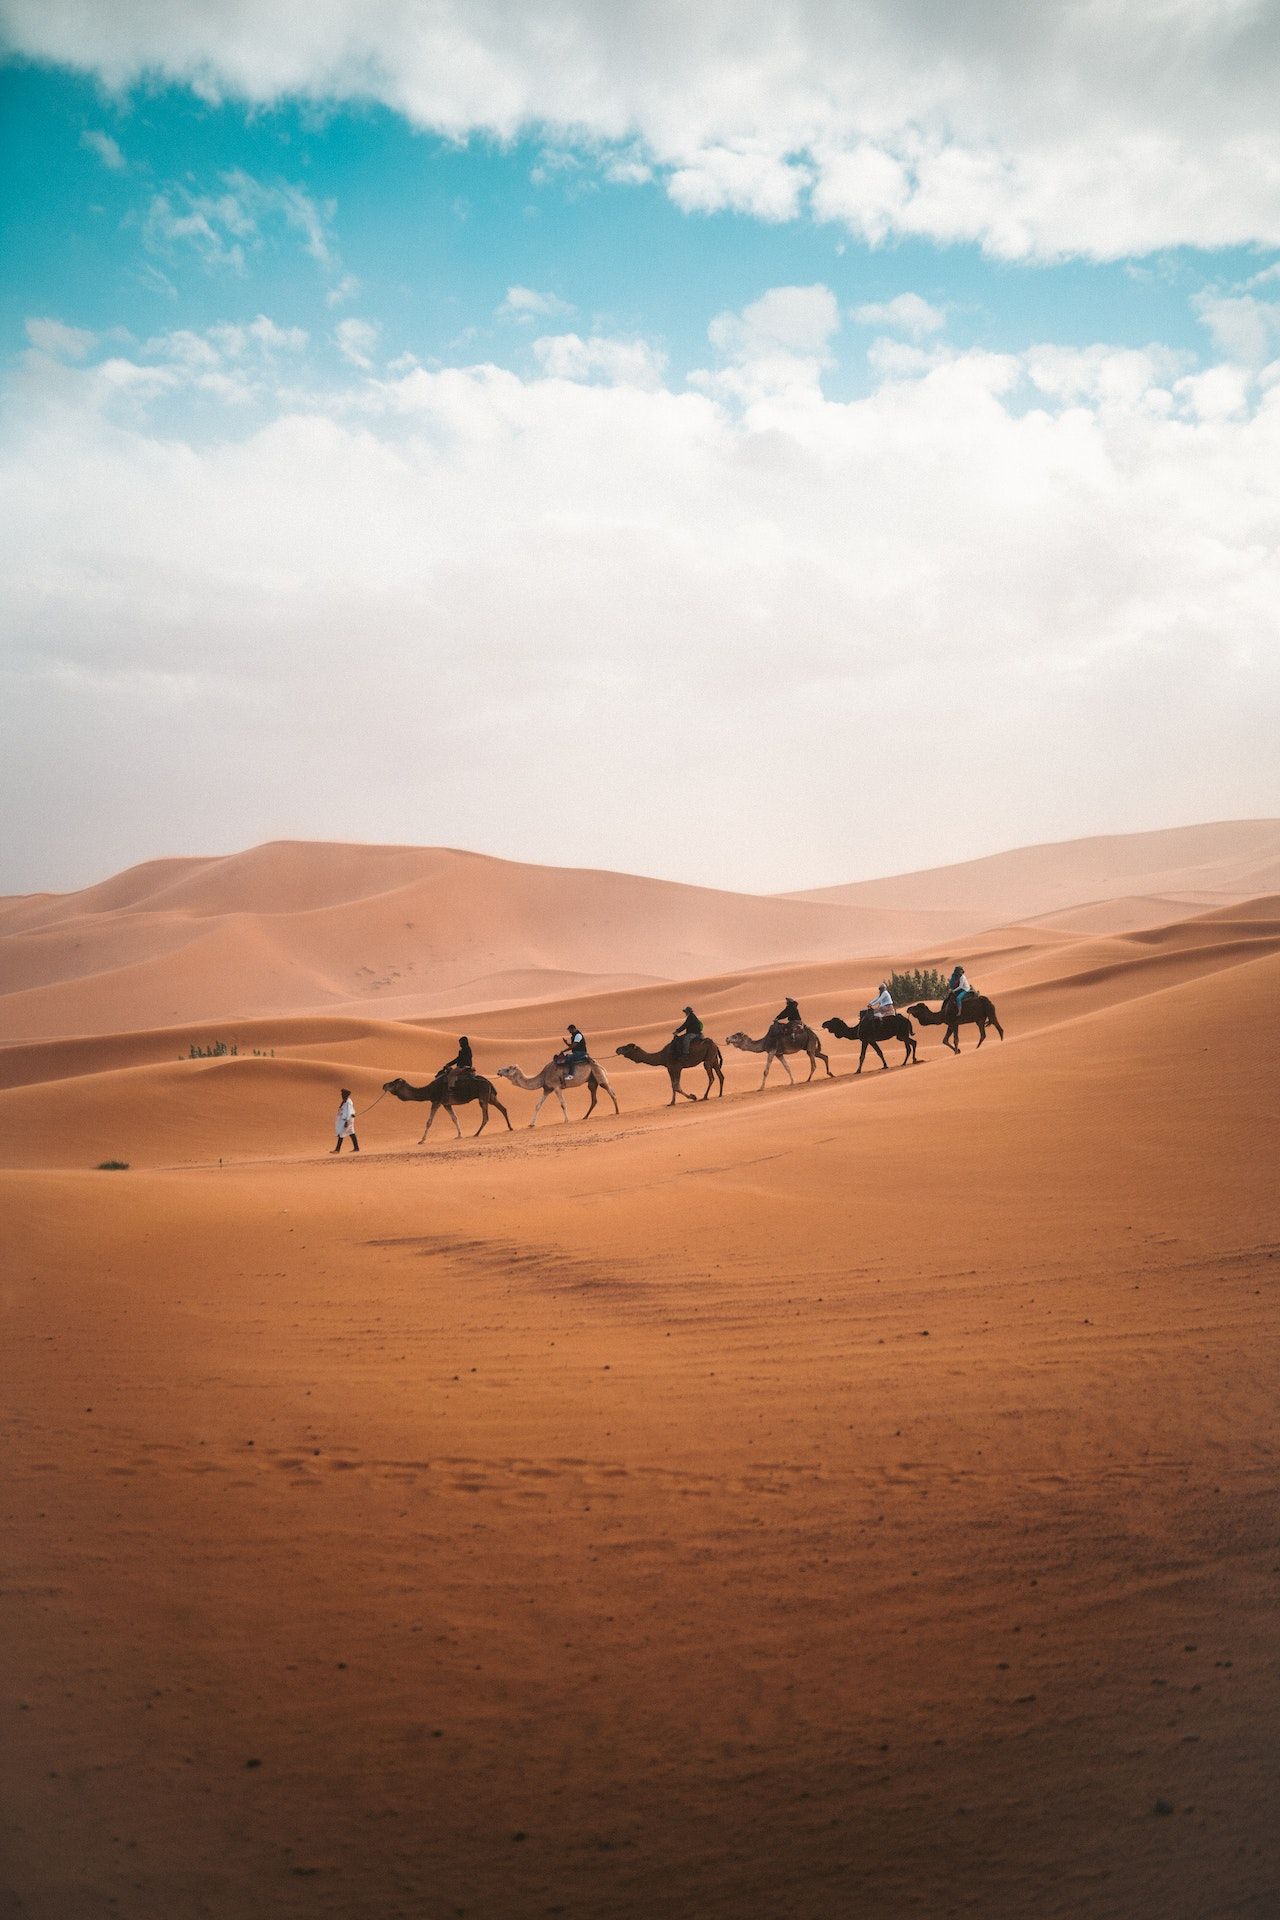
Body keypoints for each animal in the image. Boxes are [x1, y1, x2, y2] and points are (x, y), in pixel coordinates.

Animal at [383, 1067, 514, 1136]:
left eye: (393, 1083)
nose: (384, 1085)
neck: (429, 1090)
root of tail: (488, 1082)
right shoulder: (446, 1104)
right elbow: (454, 1118)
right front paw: (459, 1135)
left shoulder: (436, 1101)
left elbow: (429, 1122)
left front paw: (421, 1140)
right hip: (490, 1096)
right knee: (503, 1108)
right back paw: (510, 1127)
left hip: (483, 1096)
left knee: (486, 1116)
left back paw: (477, 1133)